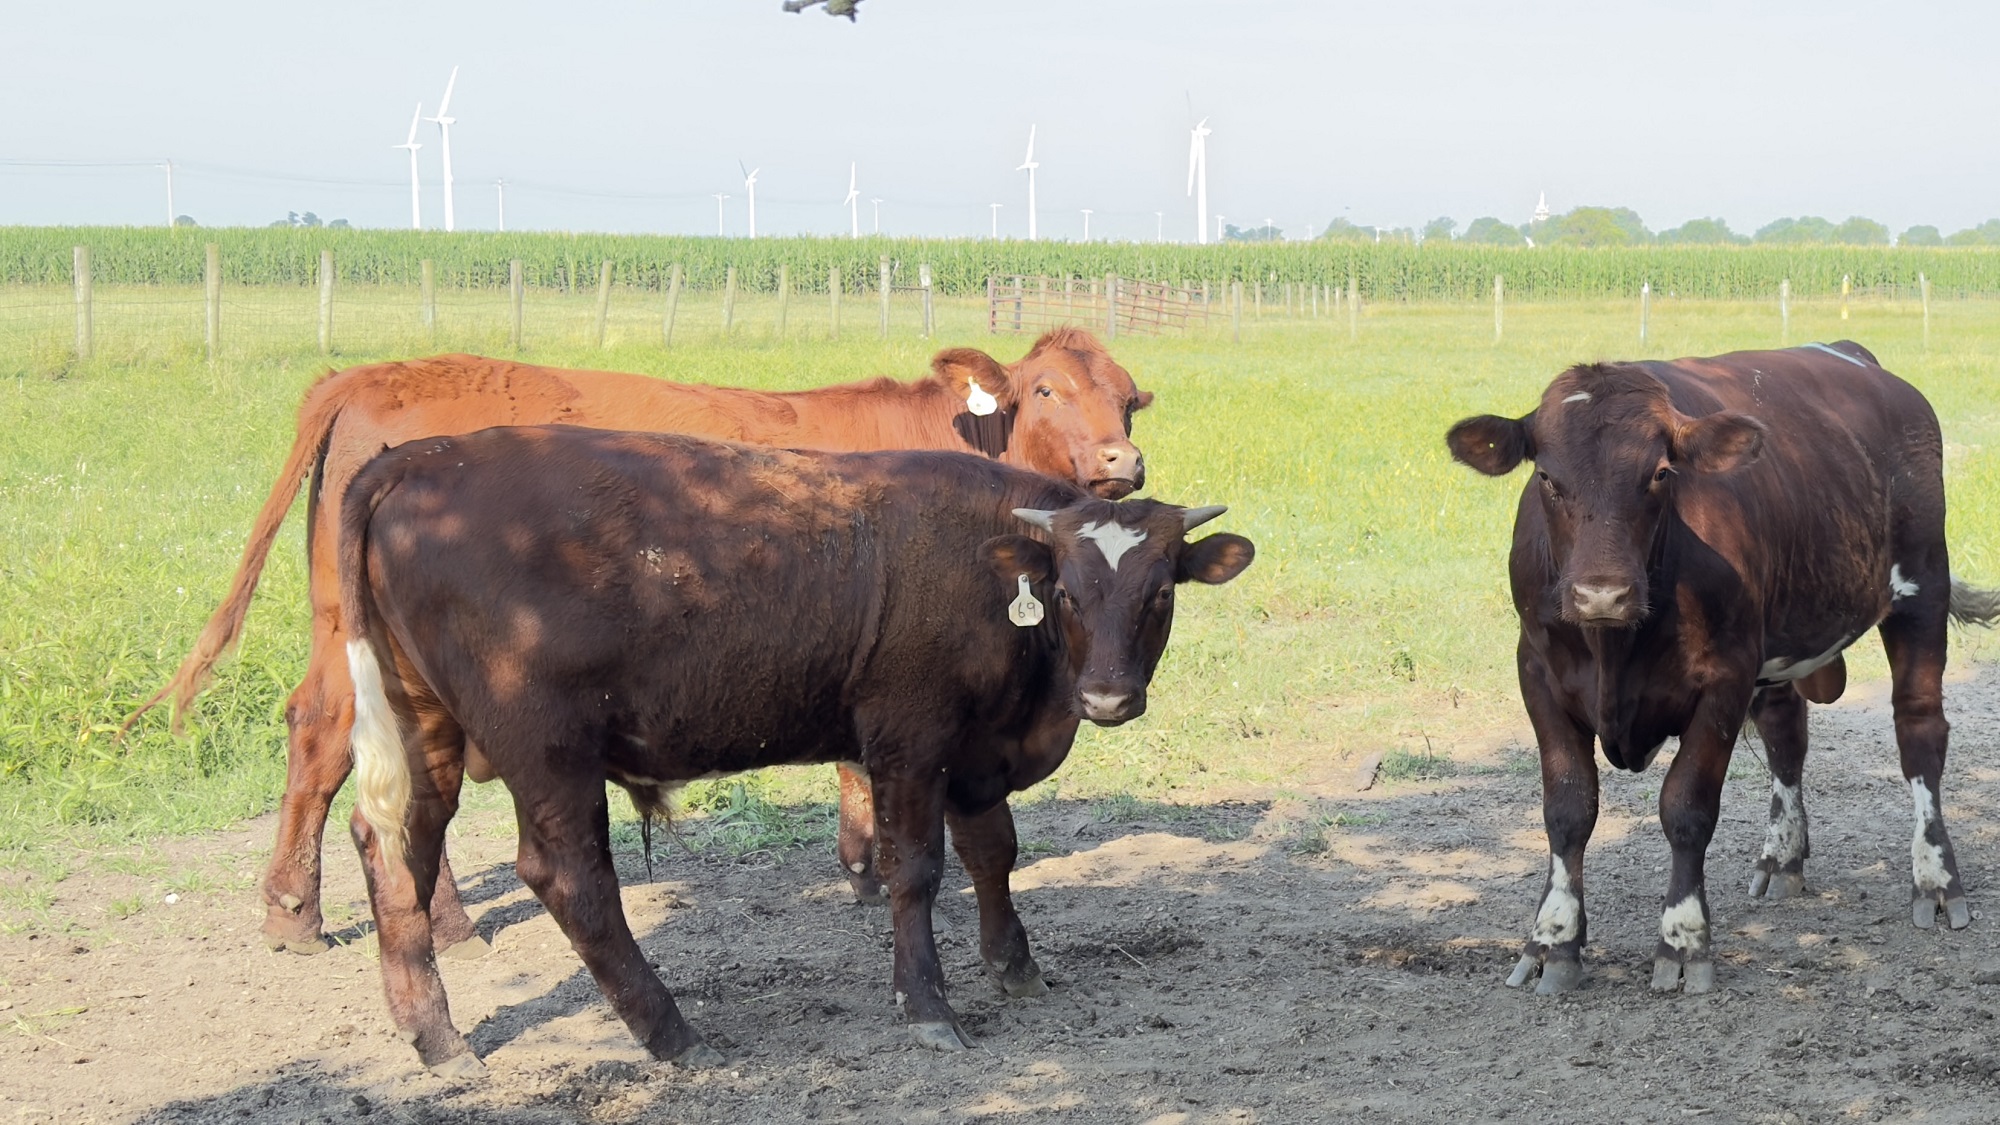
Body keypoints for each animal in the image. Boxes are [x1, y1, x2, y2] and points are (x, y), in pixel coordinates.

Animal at [124, 331, 1151, 955]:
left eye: (1129, 400)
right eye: (1049, 387)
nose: (1123, 462)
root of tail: (372, 373)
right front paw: (866, 864)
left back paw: (428, 917)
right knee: (325, 735)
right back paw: (299, 913)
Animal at [336, 426, 1253, 1073]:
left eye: (1160, 592)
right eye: (1065, 591)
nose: (1107, 697)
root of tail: (422, 457)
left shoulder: (976, 752)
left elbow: (994, 852)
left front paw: (1015, 964)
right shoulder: (909, 741)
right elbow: (915, 870)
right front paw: (928, 1005)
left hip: (425, 730)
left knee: (396, 852)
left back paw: (436, 1035)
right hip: (549, 753)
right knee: (570, 880)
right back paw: (672, 1031)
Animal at [1446, 341, 1997, 995]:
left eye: (1661, 472)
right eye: (1546, 478)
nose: (1601, 594)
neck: (1615, 650)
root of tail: (1858, 358)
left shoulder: (1724, 679)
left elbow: (1686, 808)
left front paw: (1683, 940)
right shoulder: (1538, 674)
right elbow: (1568, 809)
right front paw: (1553, 939)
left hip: (1921, 585)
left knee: (1918, 730)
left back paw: (1935, 879)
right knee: (1786, 732)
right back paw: (1782, 856)